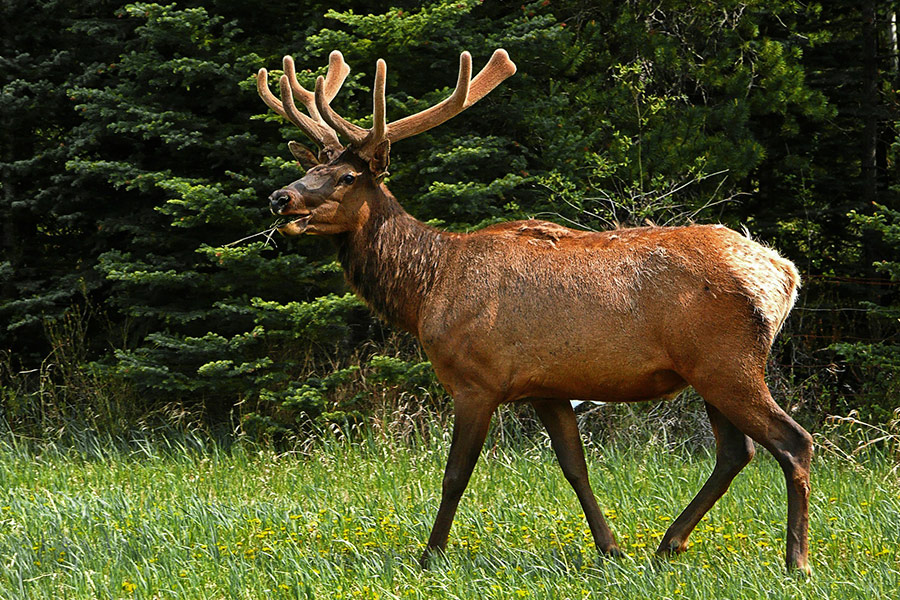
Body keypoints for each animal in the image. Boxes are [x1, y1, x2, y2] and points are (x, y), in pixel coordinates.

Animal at [255, 48, 813, 575]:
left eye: (347, 176)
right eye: (308, 168)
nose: (280, 197)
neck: (426, 290)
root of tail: (784, 275)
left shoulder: (477, 380)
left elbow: (455, 474)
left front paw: (429, 556)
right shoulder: (547, 387)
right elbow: (574, 467)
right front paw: (611, 549)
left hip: (727, 361)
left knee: (793, 441)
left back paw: (796, 561)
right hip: (707, 370)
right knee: (736, 452)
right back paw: (667, 545)